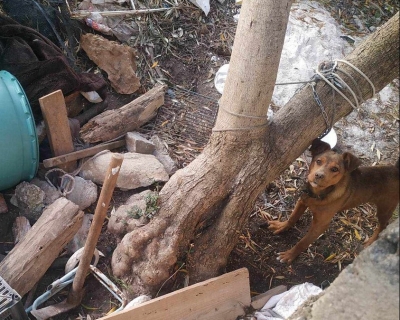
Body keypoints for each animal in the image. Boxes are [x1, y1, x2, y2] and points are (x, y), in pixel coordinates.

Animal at [268, 139, 400, 264]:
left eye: (335, 169)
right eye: (318, 161)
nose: (318, 175)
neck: (318, 195)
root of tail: (396, 170)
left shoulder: (320, 225)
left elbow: (303, 242)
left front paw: (289, 255)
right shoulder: (302, 201)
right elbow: (292, 217)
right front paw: (282, 226)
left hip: (385, 209)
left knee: (383, 225)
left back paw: (370, 242)